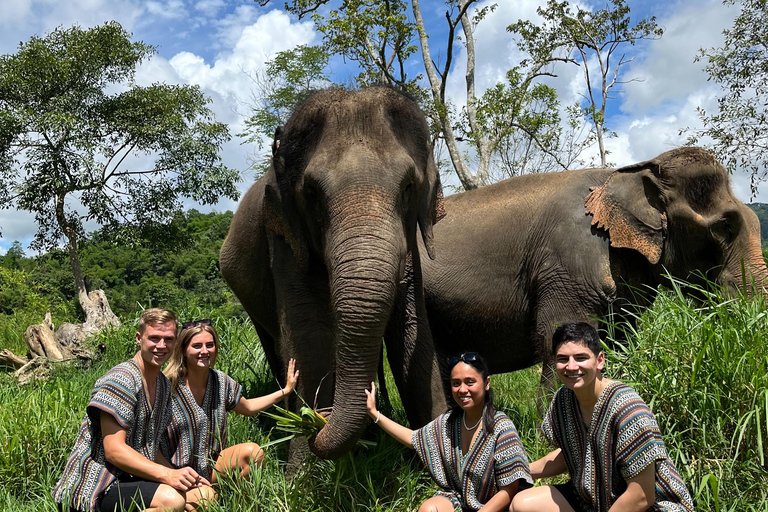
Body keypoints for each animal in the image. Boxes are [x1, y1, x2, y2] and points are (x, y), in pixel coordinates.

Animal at [219, 87, 448, 459]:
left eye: (408, 188)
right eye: (312, 193)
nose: (316, 426)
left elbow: (413, 328)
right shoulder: (283, 238)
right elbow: (310, 335)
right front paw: (302, 459)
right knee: (272, 343)